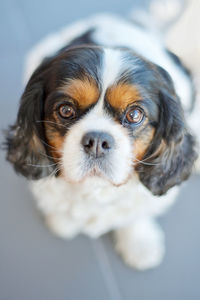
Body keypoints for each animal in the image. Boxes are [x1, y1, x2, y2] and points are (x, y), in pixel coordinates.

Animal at [4, 2, 198, 270]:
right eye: (65, 110)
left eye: (135, 114)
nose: (97, 141)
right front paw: (63, 221)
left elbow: (137, 215)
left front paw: (139, 242)